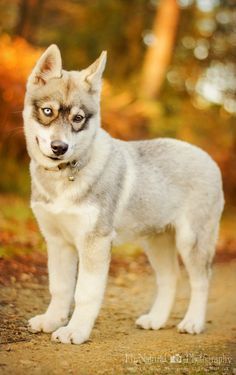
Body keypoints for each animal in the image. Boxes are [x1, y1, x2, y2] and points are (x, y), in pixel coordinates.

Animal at [23, 44, 224, 344]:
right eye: (48, 111)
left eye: (78, 118)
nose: (60, 147)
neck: (64, 176)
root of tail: (206, 157)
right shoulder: (58, 242)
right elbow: (59, 287)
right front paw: (51, 321)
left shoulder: (94, 242)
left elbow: (84, 293)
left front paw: (75, 330)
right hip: (157, 241)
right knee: (170, 278)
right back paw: (156, 319)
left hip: (192, 241)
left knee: (201, 281)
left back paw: (193, 322)